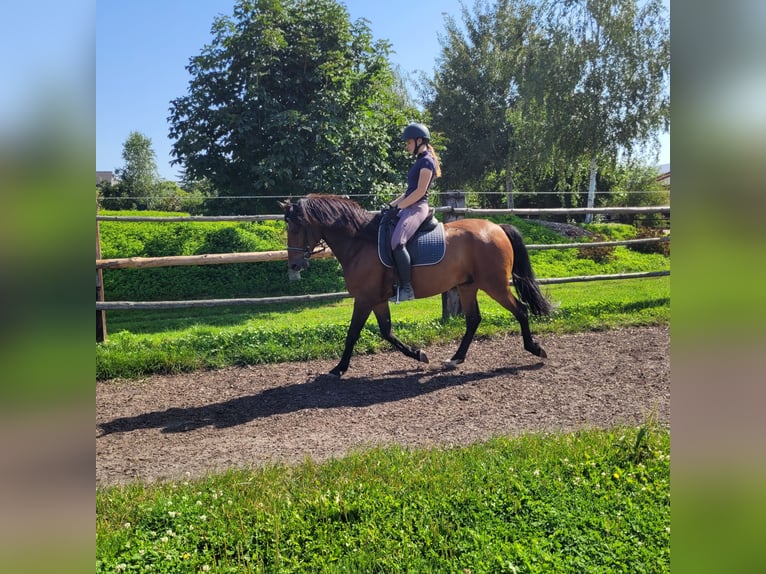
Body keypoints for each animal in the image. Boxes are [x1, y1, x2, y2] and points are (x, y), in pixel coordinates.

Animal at [282, 196, 552, 380]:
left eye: (296, 227)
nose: (294, 265)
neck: (360, 242)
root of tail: (497, 228)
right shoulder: (376, 300)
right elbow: (386, 331)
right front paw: (418, 354)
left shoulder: (364, 299)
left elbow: (353, 334)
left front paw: (337, 369)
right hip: (468, 286)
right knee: (474, 319)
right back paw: (455, 358)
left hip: (494, 285)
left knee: (521, 309)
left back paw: (535, 348)